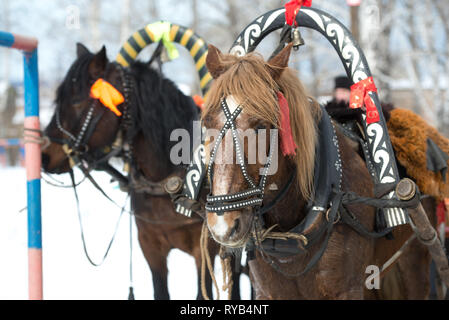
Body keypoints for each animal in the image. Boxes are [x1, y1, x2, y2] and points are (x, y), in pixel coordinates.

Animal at [201, 43, 436, 300]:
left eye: (261, 125)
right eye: (206, 123)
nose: (223, 225)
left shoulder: (347, 290)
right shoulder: (268, 292)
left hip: (415, 260)